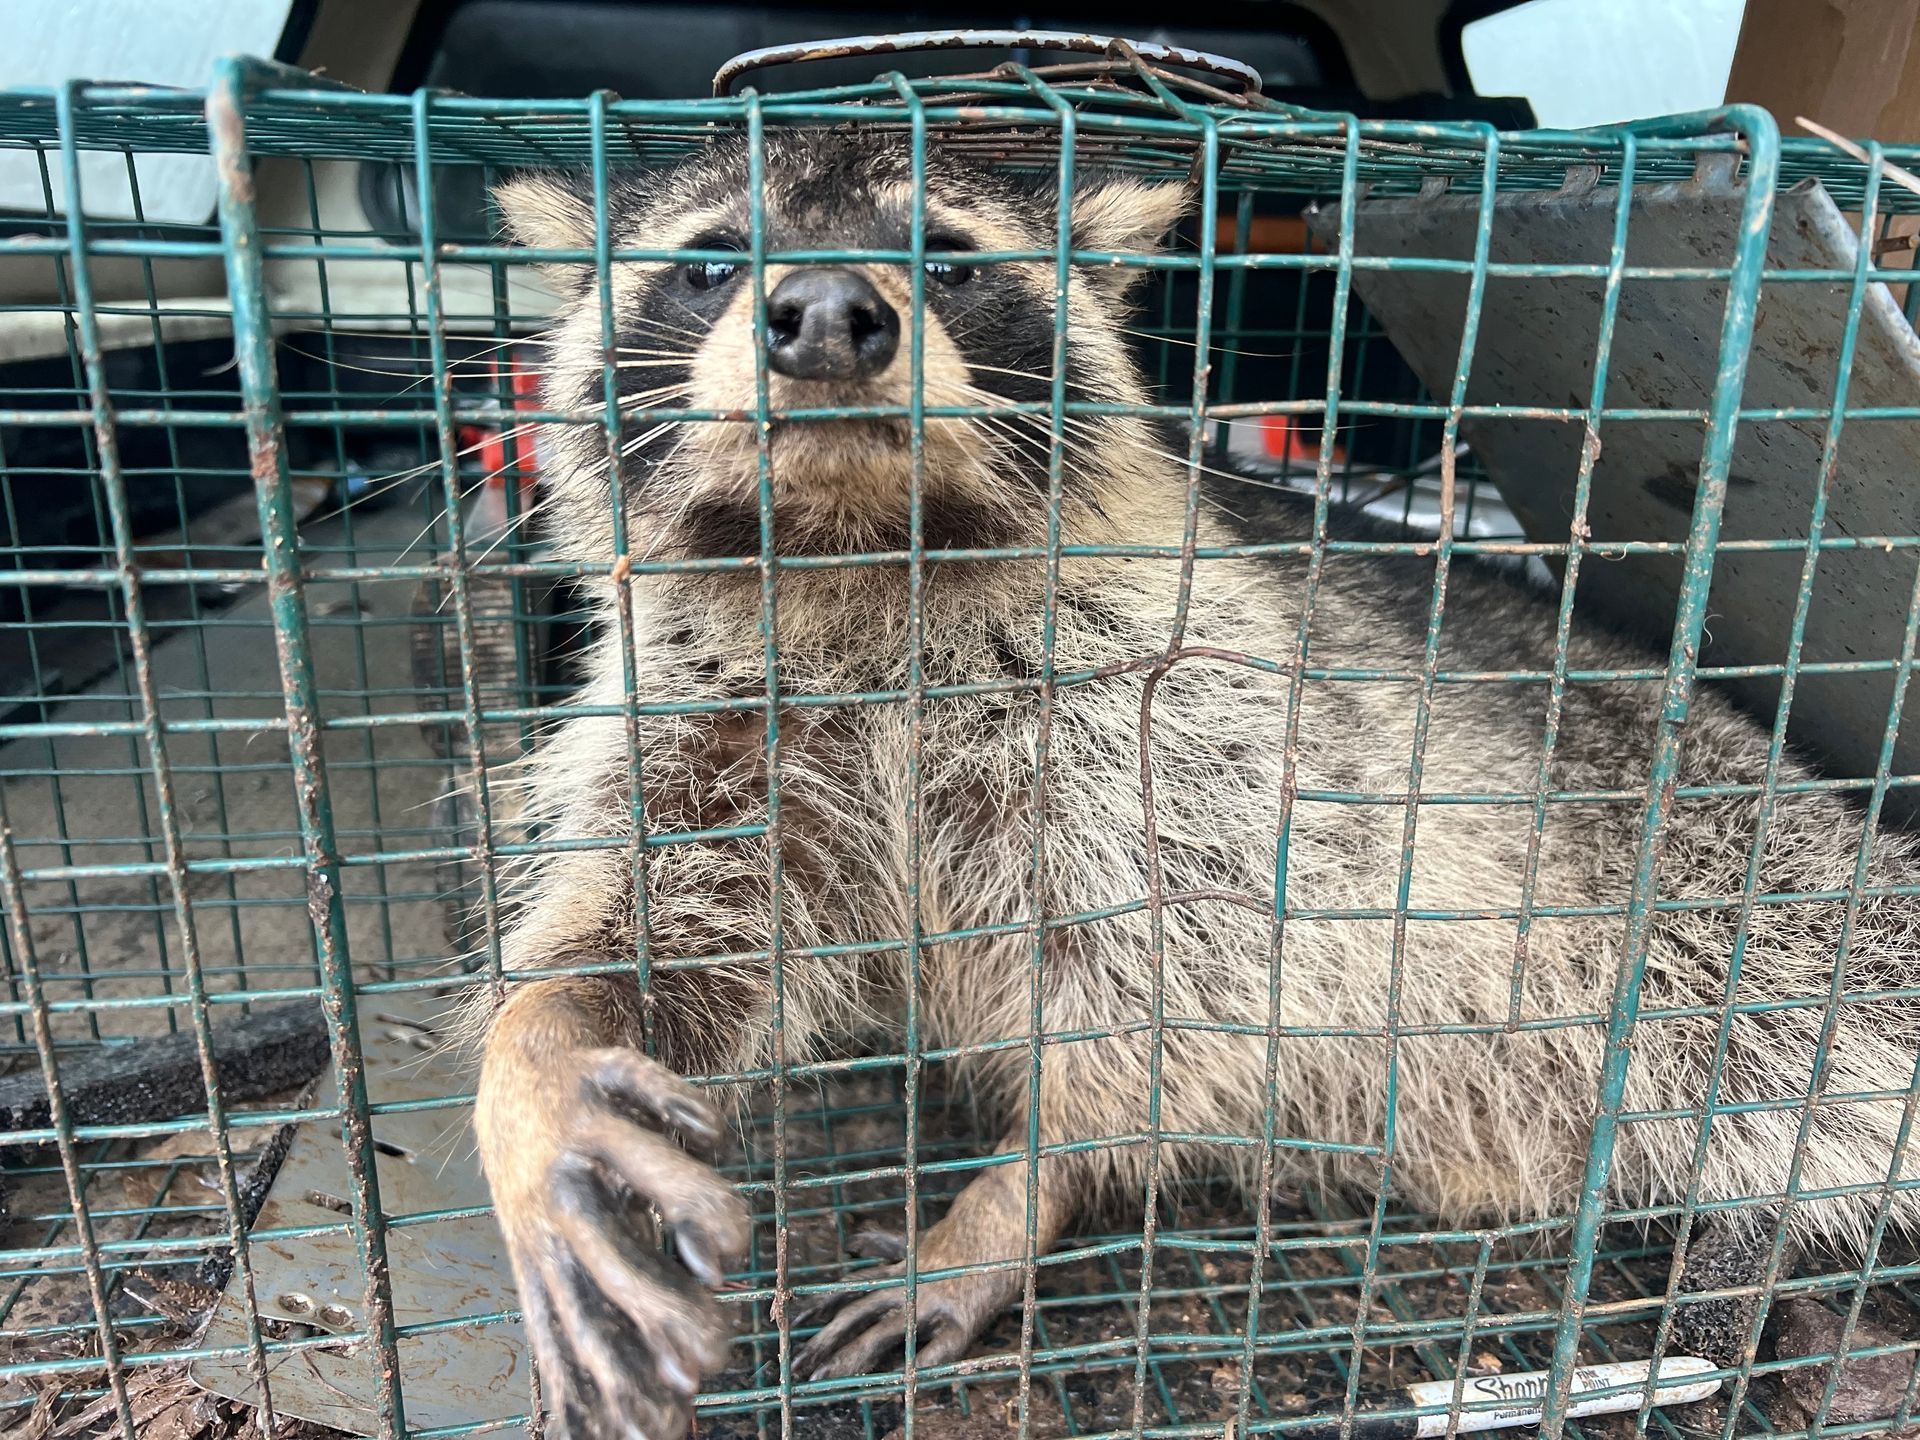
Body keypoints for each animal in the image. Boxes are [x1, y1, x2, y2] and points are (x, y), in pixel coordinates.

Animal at [476, 132, 1920, 1440]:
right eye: (709, 257)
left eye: (949, 256)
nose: (829, 316)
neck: (856, 553)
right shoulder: (711, 724)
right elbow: (656, 925)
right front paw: (544, 1070)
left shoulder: (1178, 731)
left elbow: (1167, 992)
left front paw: (1013, 1197)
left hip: (1741, 878)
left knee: (1813, 1045)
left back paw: (1770, 1239)